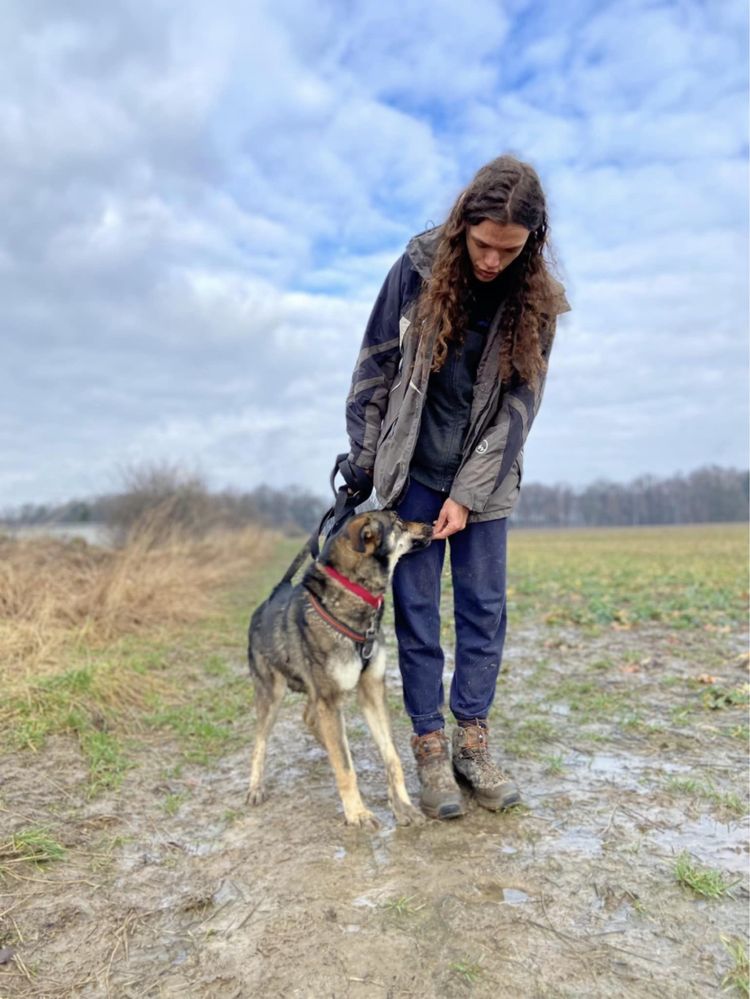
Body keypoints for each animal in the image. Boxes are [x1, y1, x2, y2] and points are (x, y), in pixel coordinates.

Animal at [250, 508, 432, 828]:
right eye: (398, 521)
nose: (431, 525)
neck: (355, 594)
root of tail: (270, 599)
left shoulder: (370, 690)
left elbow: (392, 756)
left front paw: (403, 806)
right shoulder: (330, 698)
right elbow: (346, 769)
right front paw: (357, 813)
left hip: (316, 693)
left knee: (309, 717)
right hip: (273, 694)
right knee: (260, 739)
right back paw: (255, 786)